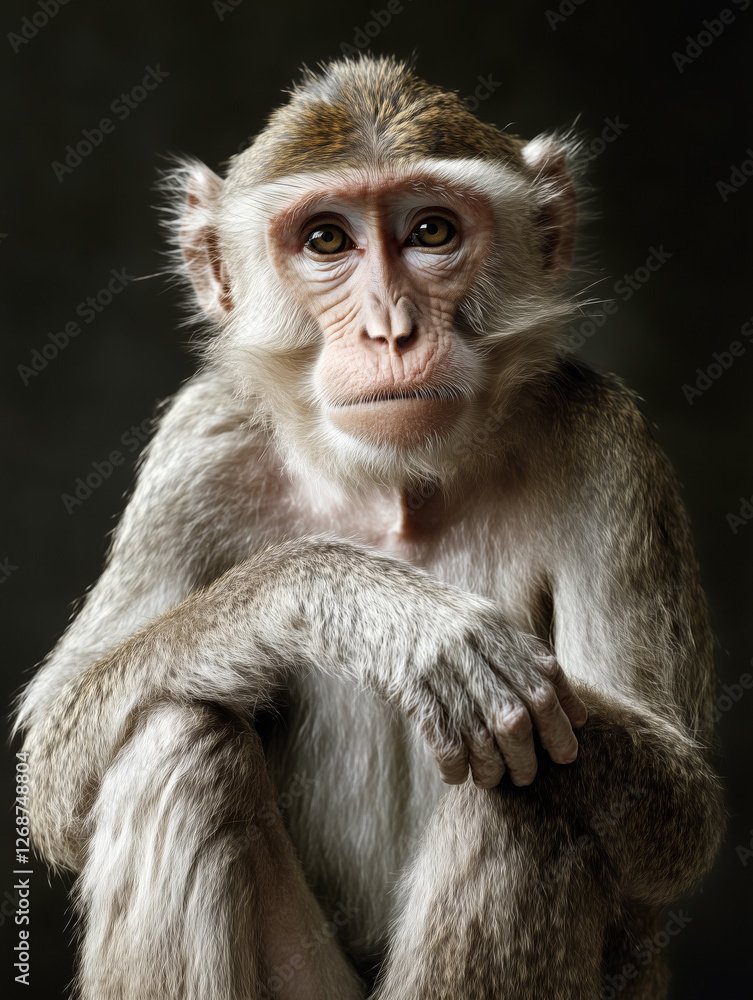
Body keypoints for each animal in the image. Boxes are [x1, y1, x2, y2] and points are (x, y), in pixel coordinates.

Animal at [15, 55, 724, 1000]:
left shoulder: (607, 442)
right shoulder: (198, 445)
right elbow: (54, 767)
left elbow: (686, 806)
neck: (397, 492)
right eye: (326, 241)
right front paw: (364, 604)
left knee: (532, 779)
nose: (391, 328)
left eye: (431, 231)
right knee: (176, 736)